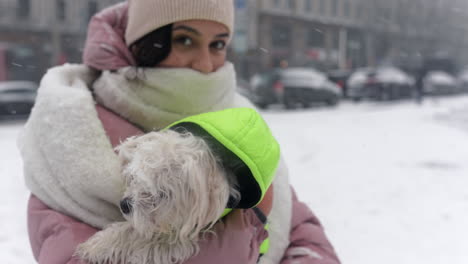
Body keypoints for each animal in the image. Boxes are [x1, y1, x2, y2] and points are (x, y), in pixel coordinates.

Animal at [76, 129, 241, 264]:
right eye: (134, 176)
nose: (124, 205)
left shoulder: (181, 234)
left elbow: (138, 233)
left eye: (163, 194)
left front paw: (98, 246)